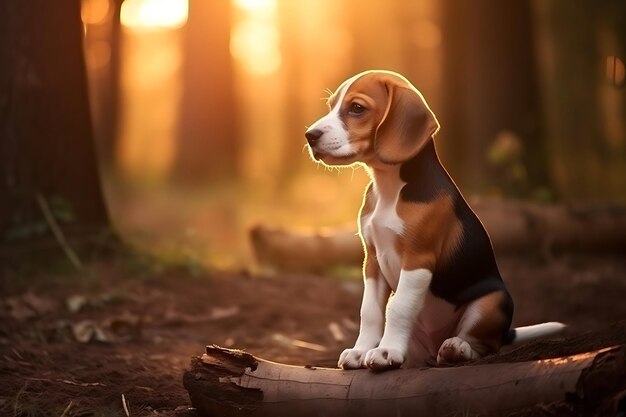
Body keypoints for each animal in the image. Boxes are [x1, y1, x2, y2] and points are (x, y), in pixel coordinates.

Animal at [304, 70, 564, 368]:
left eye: (357, 108)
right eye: (331, 106)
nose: (309, 135)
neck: (390, 188)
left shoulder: (419, 258)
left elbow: (398, 308)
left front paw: (386, 351)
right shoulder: (372, 262)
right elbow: (369, 311)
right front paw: (360, 351)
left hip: (493, 301)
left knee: (487, 345)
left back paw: (458, 348)